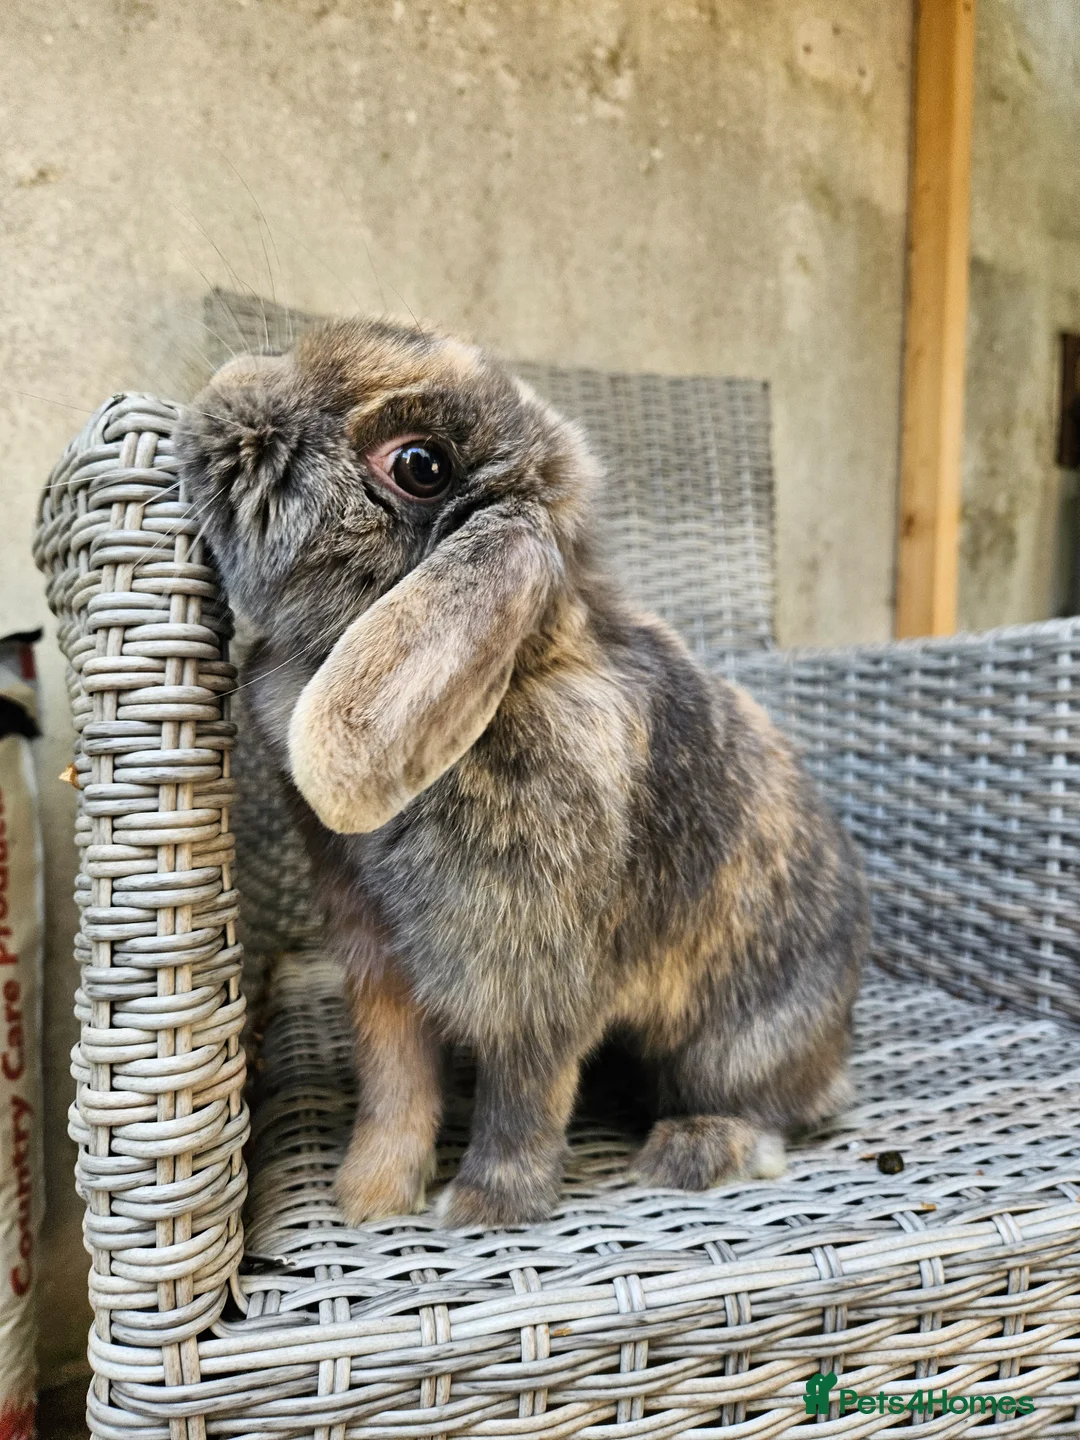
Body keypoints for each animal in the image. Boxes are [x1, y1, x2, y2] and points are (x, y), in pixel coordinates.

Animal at [175, 317, 869, 1229]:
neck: (518, 679)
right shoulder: (378, 963)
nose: (219, 396)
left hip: (731, 1046)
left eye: (419, 465)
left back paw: (691, 1152)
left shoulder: (529, 976)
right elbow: (396, 1084)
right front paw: (370, 1198)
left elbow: (523, 1094)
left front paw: (483, 1208)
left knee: (771, 1111)